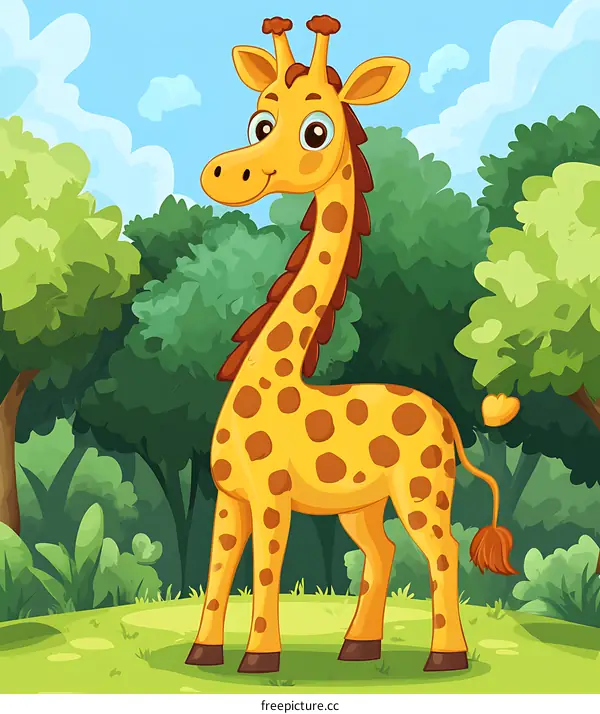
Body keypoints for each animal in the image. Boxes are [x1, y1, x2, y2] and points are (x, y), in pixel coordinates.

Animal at [186, 15, 520, 675]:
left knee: (442, 551)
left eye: (316, 131)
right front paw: (202, 654)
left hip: (421, 491)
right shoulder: (228, 498)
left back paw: (446, 658)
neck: (274, 376)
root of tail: (446, 418)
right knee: (384, 551)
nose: (224, 174)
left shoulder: (272, 497)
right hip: (360, 505)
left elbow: (265, 572)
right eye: (260, 123)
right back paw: (358, 647)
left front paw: (259, 659)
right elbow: (216, 574)